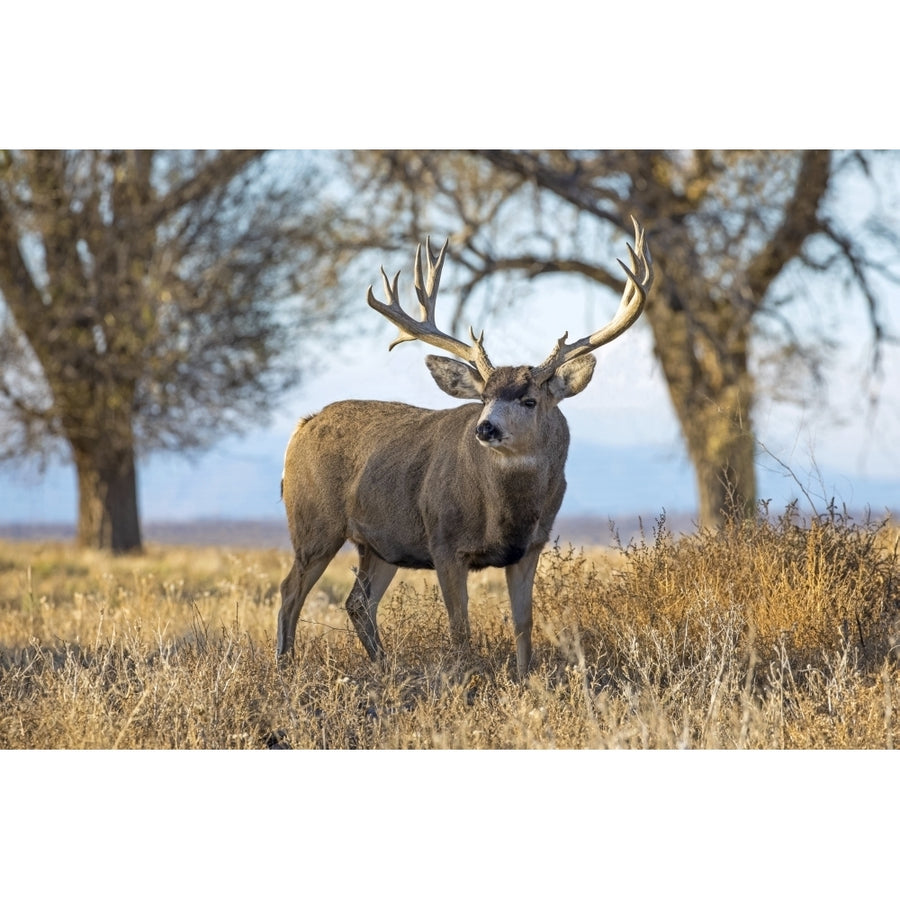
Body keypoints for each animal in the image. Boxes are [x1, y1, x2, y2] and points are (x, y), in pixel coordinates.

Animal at [278, 216, 652, 676]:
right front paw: (466, 678)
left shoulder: (531, 546)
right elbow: (461, 629)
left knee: (358, 603)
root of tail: (302, 426)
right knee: (290, 591)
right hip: (314, 522)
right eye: (484, 397)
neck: (505, 513)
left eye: (529, 400)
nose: (485, 428)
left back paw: (384, 668)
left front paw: (524, 678)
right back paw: (285, 667)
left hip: (380, 544)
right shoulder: (444, 542)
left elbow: (523, 623)